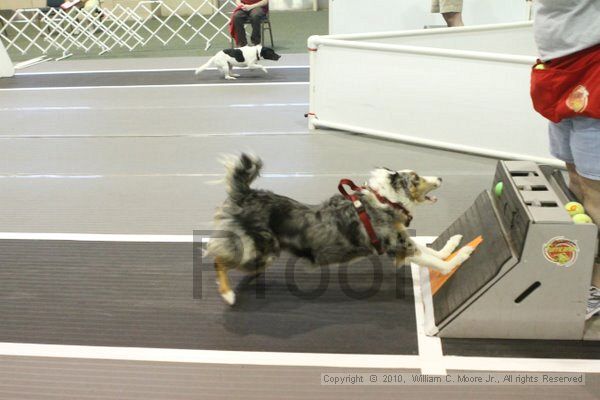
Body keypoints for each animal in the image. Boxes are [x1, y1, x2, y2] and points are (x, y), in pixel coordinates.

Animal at [209, 153, 472, 304]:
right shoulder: (398, 245)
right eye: (416, 179)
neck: (386, 200)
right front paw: (460, 258)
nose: (440, 178)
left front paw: (453, 244)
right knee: (217, 259)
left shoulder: (403, 239)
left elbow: (433, 252)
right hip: (260, 252)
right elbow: (435, 261)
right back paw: (228, 294)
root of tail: (246, 194)